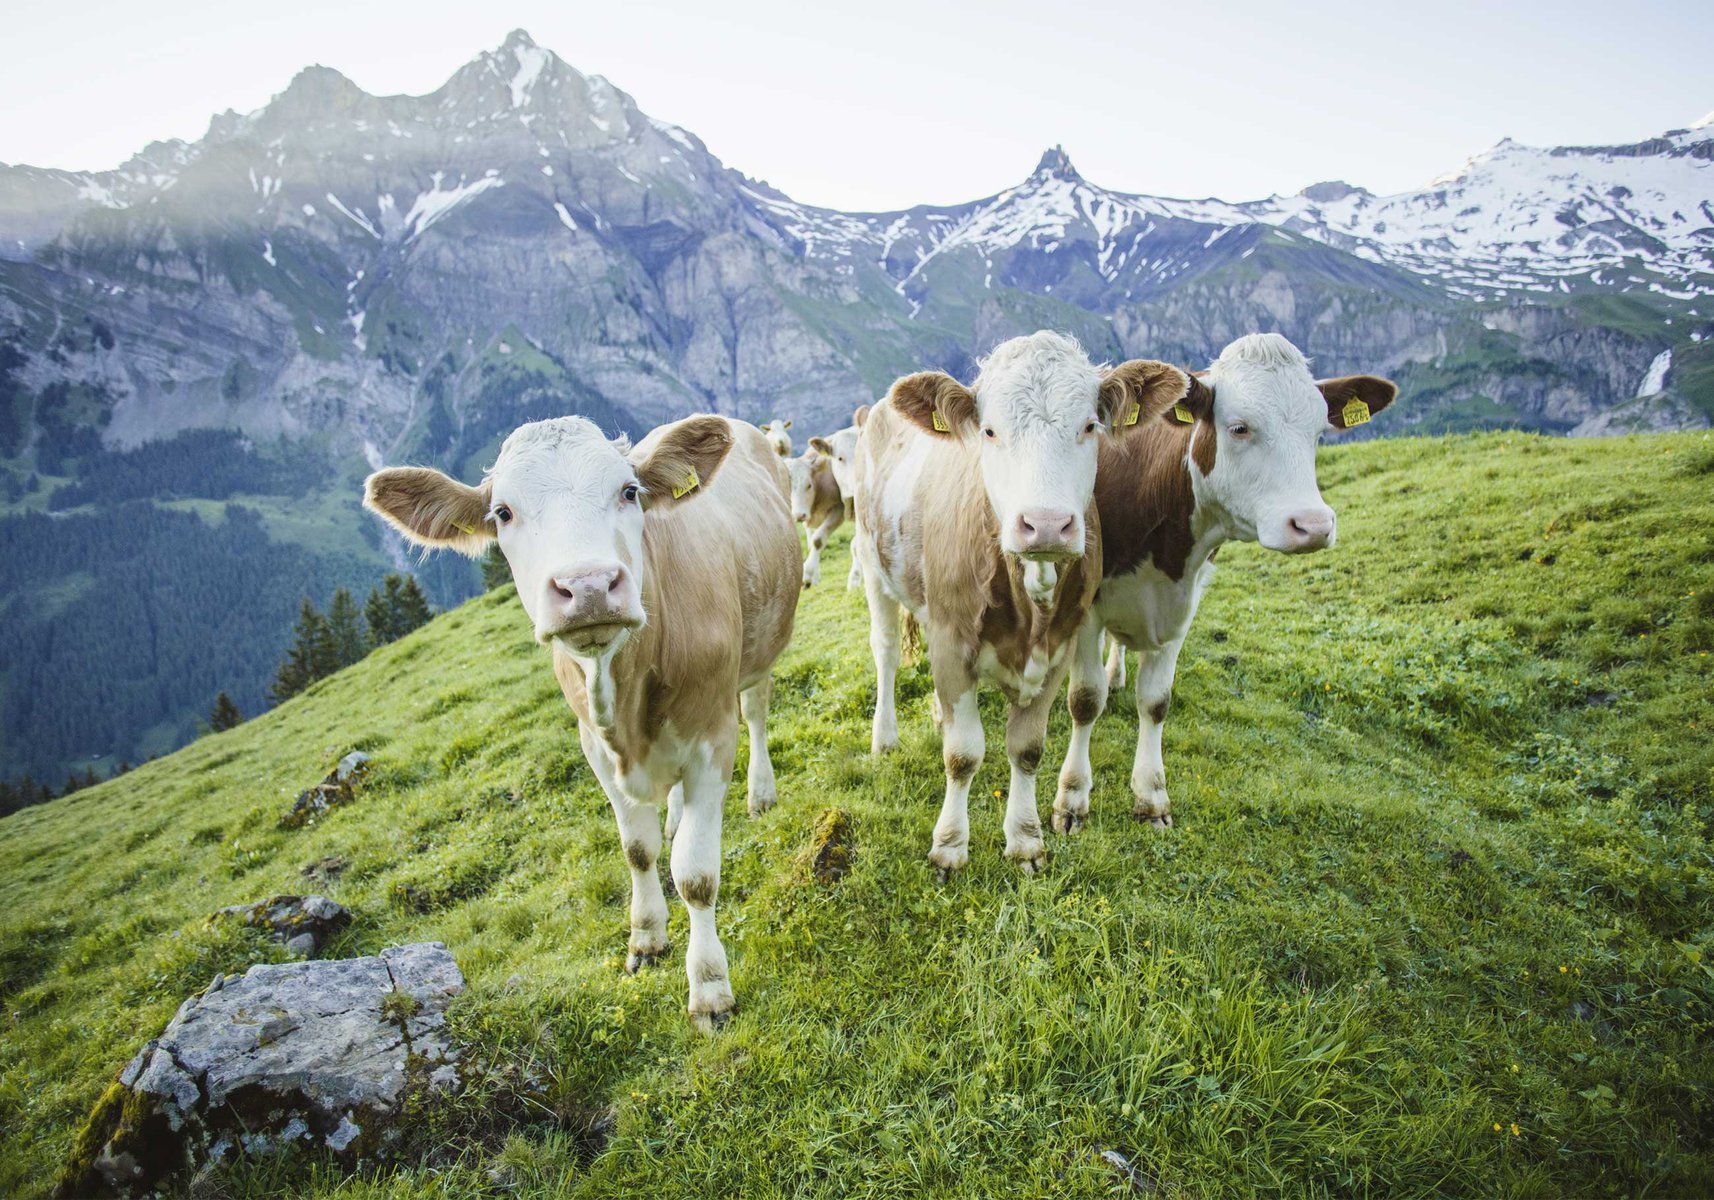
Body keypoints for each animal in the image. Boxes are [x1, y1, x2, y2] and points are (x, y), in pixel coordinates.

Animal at [363, 414, 802, 1028]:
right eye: (503, 512)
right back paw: (672, 817)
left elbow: (695, 874)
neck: (625, 699)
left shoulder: (712, 737)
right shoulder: (594, 746)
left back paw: (760, 792)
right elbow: (638, 850)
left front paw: (710, 988)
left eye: (629, 491)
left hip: (762, 647)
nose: (589, 585)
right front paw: (646, 939)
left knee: (757, 709)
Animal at [850, 332, 1186, 877]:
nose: (1046, 524)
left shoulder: (1061, 645)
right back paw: (885, 737)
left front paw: (1026, 840)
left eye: (1089, 425)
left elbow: (1027, 749)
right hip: (870, 561)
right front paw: (950, 846)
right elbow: (963, 754)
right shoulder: (952, 642)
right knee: (885, 653)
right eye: (989, 430)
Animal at [1048, 327, 1398, 833]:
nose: (1313, 525)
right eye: (1240, 427)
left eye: (1318, 434)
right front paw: (1072, 800)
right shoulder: (1089, 600)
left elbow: (1156, 701)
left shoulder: (1180, 605)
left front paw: (1152, 797)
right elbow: (1085, 699)